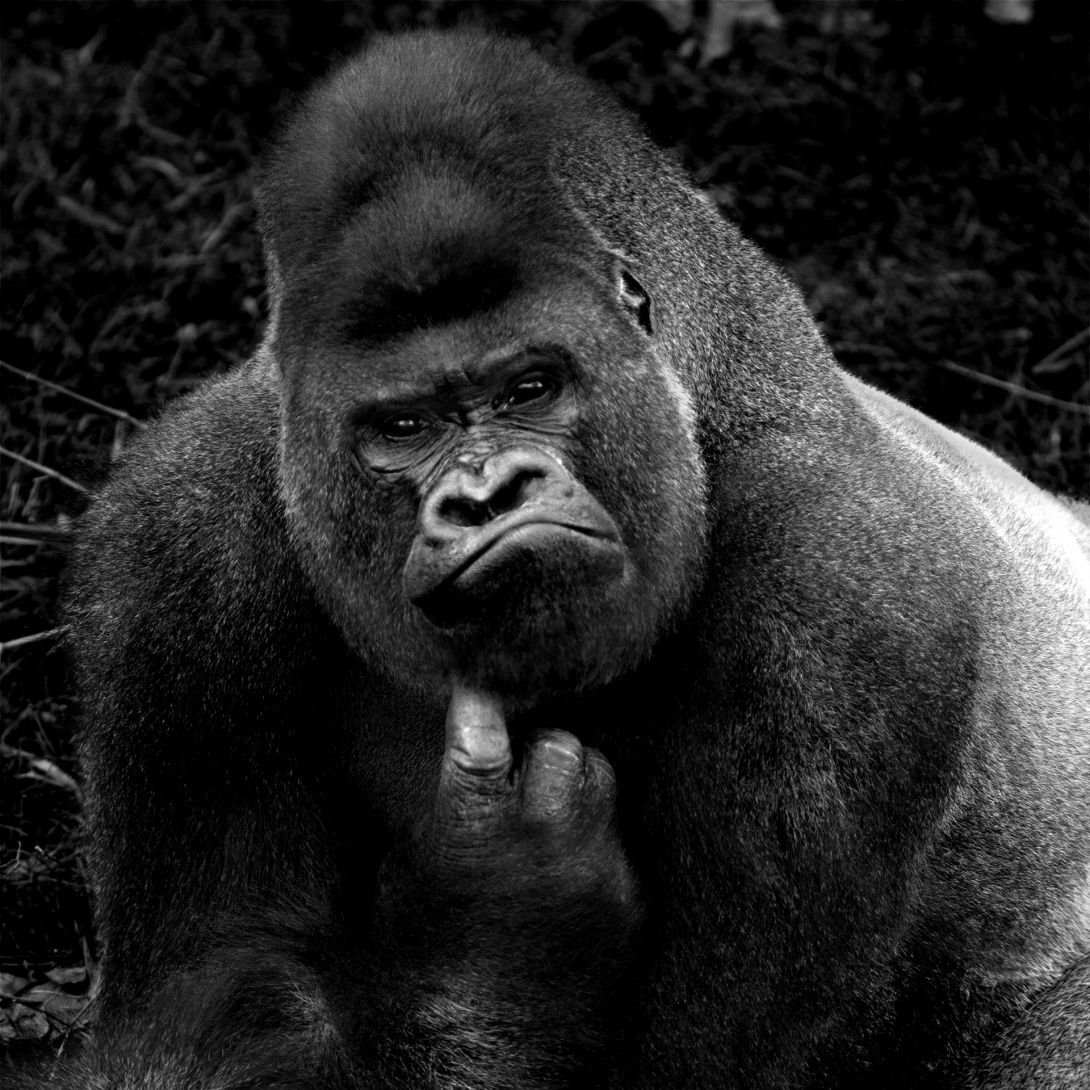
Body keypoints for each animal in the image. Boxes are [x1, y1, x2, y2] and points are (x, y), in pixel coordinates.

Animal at [38, 27, 1089, 1090]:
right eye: (404, 426)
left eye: (530, 387)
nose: (490, 495)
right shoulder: (173, 550)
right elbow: (220, 1001)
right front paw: (502, 917)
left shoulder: (847, 597)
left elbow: (700, 1061)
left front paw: (497, 918)